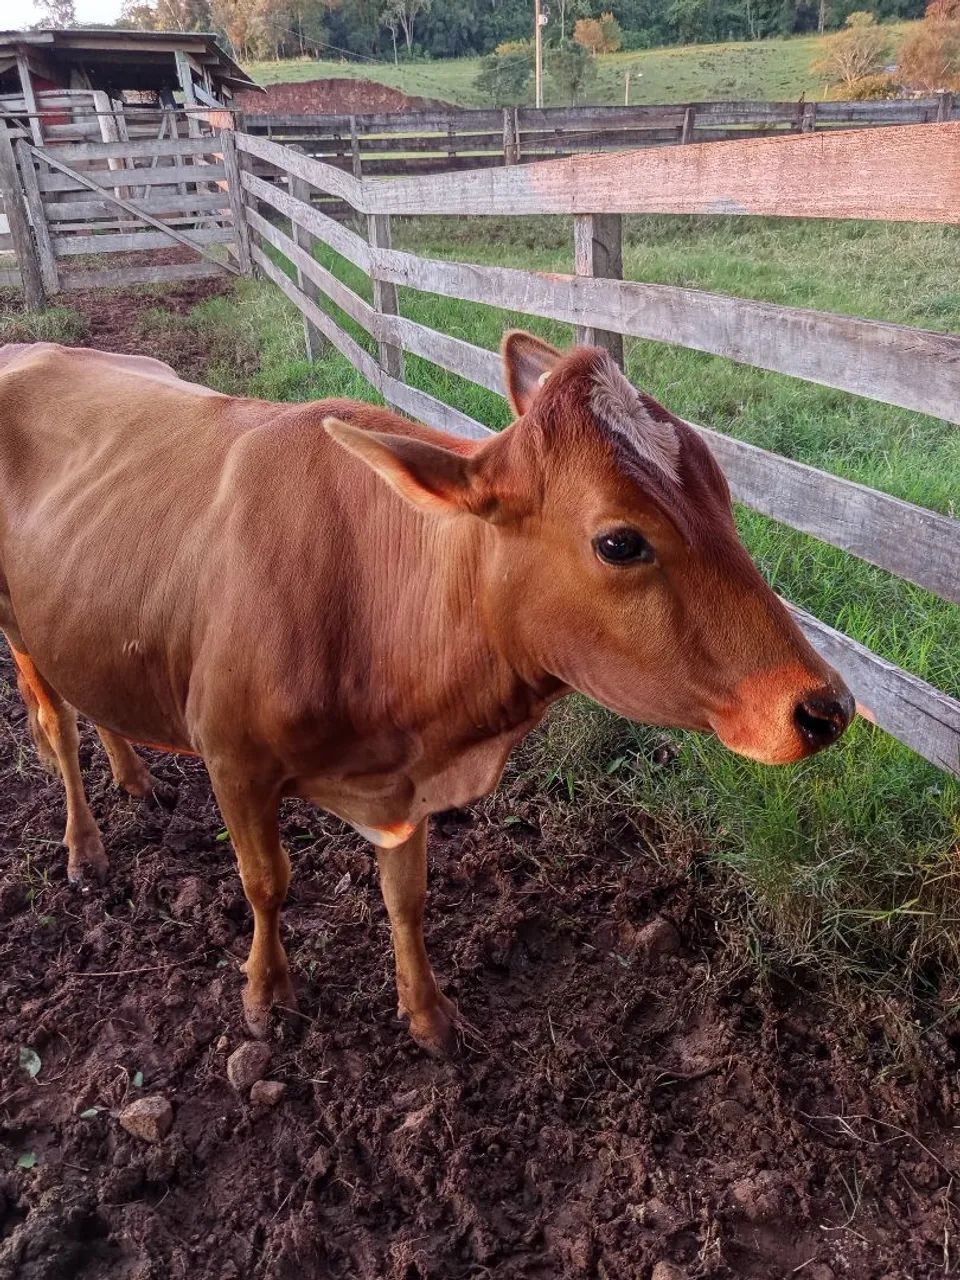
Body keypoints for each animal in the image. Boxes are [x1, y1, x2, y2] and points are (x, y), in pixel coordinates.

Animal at [0, 332, 853, 1055]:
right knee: (56, 723)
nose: (824, 708)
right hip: (19, 628)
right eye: (620, 541)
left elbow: (406, 896)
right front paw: (266, 995)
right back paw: (84, 847)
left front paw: (427, 1012)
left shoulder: (404, 785)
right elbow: (265, 882)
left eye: (723, 494)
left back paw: (133, 777)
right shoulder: (232, 758)